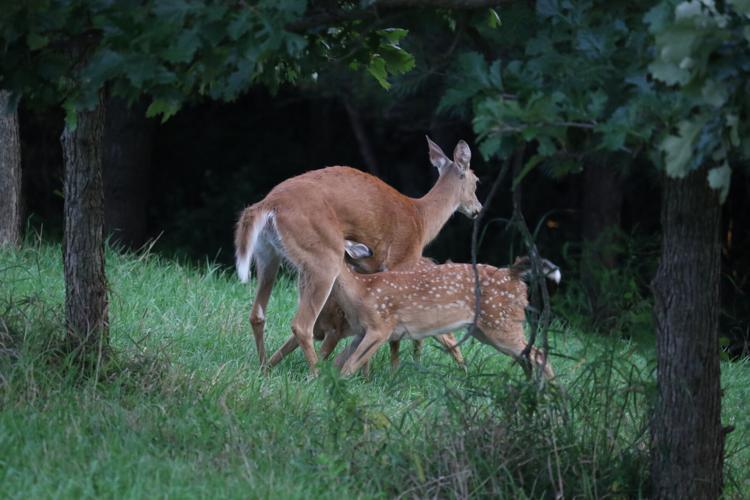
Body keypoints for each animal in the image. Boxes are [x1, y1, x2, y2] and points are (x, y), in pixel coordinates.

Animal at [234, 137, 481, 374]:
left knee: (257, 314)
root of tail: (268, 204)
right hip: (323, 256)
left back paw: (264, 369)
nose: (477, 209)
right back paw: (315, 375)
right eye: (477, 180)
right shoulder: (401, 262)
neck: (421, 219)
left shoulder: (369, 270)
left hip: (268, 254)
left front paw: (366, 374)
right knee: (302, 325)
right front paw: (391, 372)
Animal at [332, 242, 561, 380]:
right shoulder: (364, 331)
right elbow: (344, 360)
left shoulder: (380, 327)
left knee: (539, 354)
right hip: (486, 330)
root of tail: (513, 275)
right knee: (526, 357)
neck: (360, 291)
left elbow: (349, 364)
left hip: (501, 324)